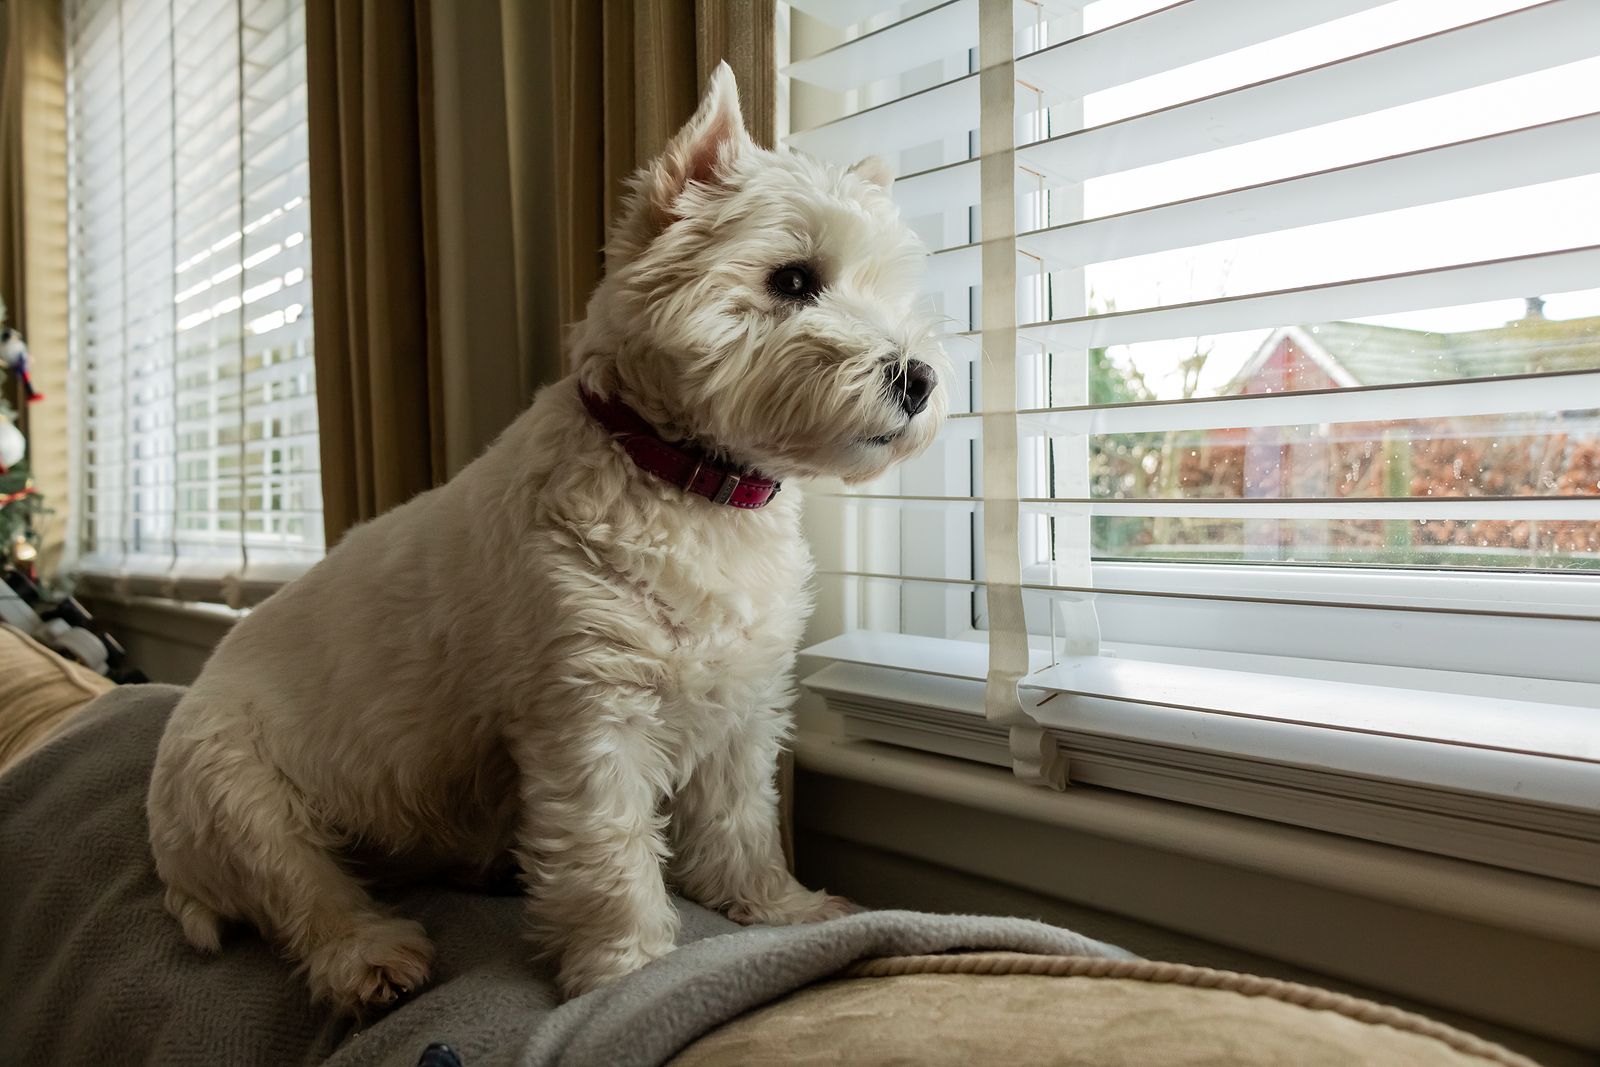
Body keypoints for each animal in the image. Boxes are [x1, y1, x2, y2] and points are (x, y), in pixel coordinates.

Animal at [144, 62, 940, 1017]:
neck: (688, 480)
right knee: (305, 891)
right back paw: (373, 956)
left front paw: (781, 907)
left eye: (890, 291)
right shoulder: (589, 715)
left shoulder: (742, 708)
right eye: (792, 279)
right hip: (241, 790)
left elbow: (741, 821)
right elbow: (611, 852)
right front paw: (627, 973)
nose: (919, 378)